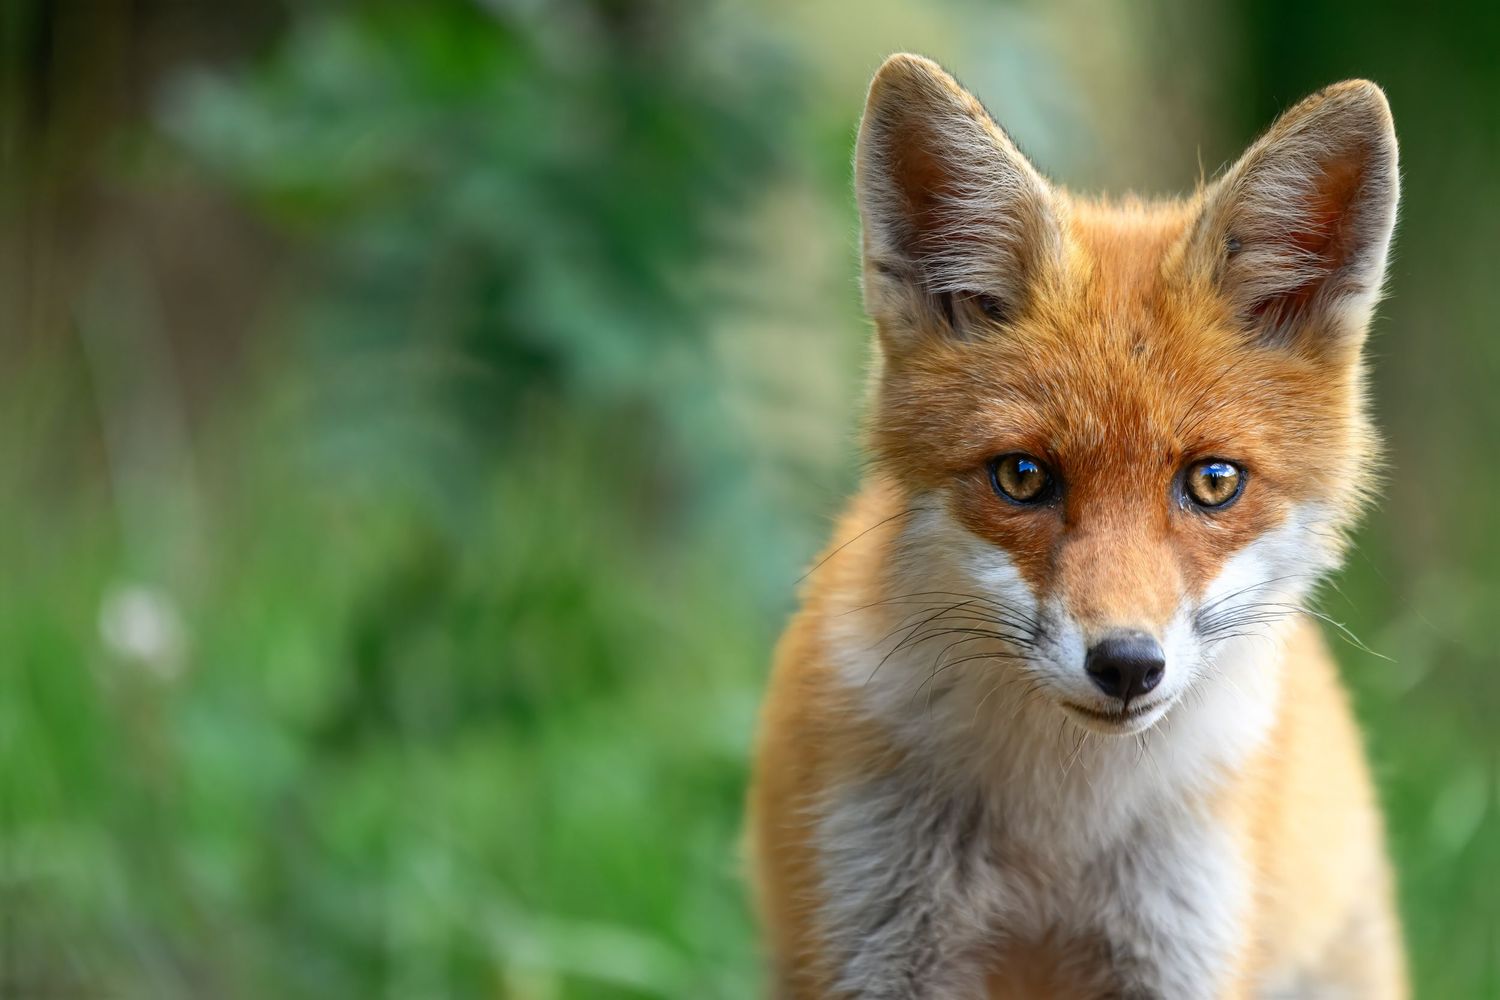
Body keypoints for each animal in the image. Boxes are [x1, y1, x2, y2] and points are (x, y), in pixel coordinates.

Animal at [747, 54, 1405, 999]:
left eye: (1213, 482)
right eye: (1022, 477)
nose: (1126, 665)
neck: (1058, 832)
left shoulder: (1177, 952)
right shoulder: (877, 940)